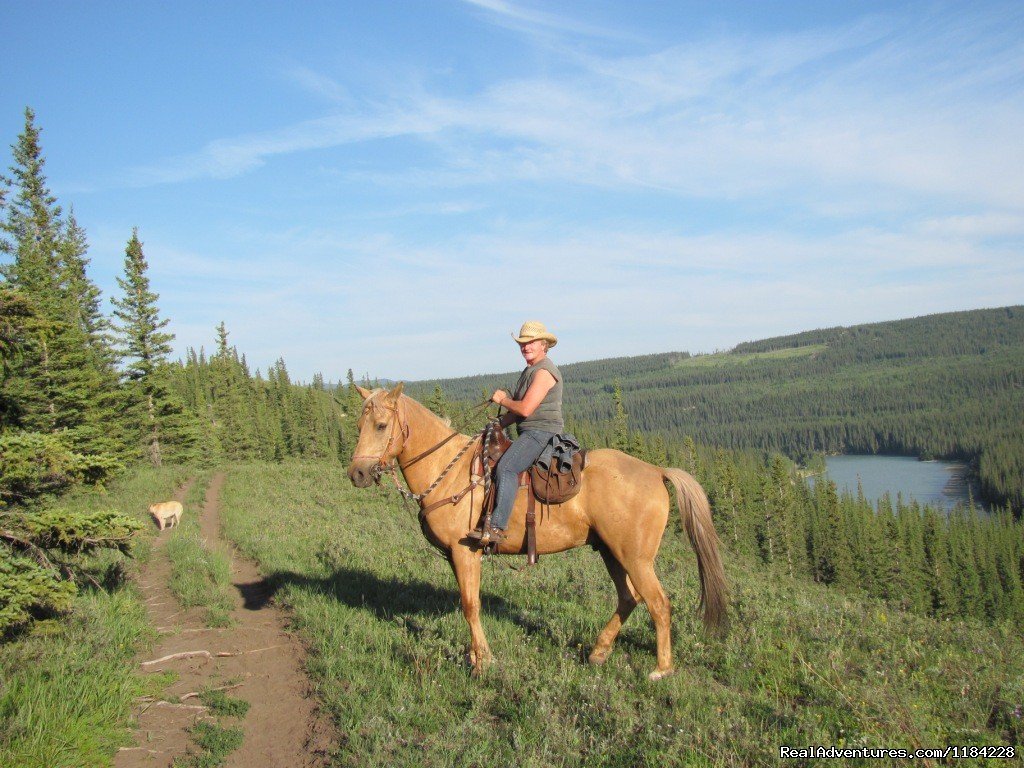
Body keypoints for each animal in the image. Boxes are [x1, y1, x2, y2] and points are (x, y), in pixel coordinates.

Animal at [346, 382, 729, 679]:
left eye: (381, 425)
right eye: (360, 424)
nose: (357, 474)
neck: (448, 471)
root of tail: (656, 471)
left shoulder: (465, 551)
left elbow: (470, 605)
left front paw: (483, 662)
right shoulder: (456, 556)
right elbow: (467, 602)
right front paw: (475, 656)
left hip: (636, 557)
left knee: (659, 604)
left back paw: (661, 669)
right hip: (611, 552)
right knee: (629, 598)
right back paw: (598, 652)